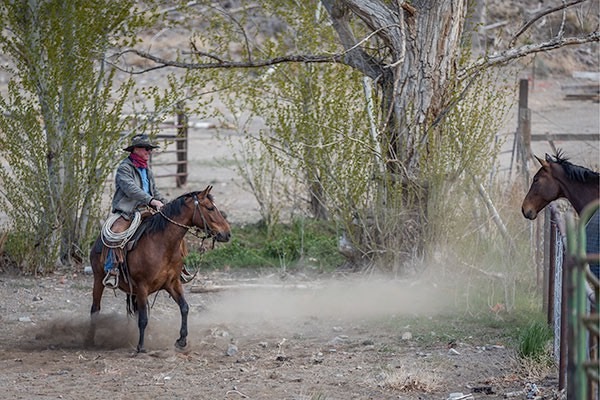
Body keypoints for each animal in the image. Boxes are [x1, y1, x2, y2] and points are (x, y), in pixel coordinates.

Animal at [88, 186, 231, 352]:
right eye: (210, 208)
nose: (227, 234)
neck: (162, 244)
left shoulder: (172, 283)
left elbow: (184, 307)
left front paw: (181, 340)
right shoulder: (142, 286)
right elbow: (143, 318)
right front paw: (140, 347)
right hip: (99, 278)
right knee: (95, 309)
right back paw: (90, 340)